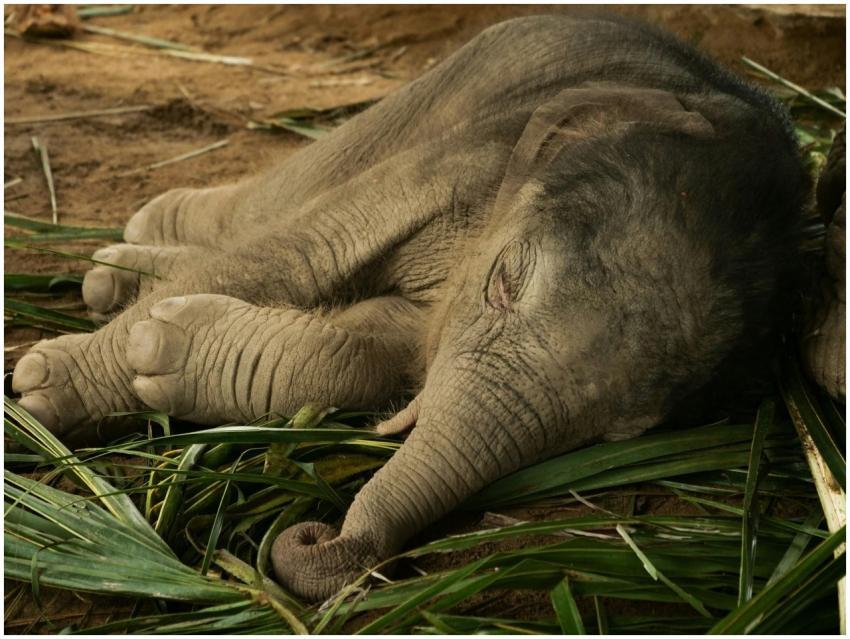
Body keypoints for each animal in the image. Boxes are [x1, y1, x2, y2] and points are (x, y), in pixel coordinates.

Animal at [11, 14, 811, 601]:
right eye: (503, 284)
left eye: (617, 433)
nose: (315, 537)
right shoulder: (475, 150)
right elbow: (299, 255)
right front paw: (45, 392)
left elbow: (377, 350)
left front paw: (160, 342)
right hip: (428, 91)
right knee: (281, 193)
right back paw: (135, 246)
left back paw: (115, 278)